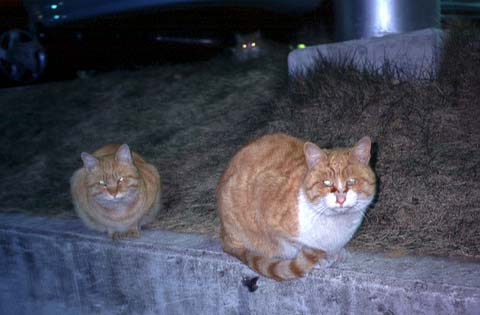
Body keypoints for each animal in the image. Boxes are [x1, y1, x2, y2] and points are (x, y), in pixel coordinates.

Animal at [216, 133, 376, 282]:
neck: (338, 224)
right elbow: (299, 245)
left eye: (351, 181)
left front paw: (337, 253)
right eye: (326, 183)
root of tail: (224, 235)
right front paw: (322, 259)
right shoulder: (266, 207)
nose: (341, 199)